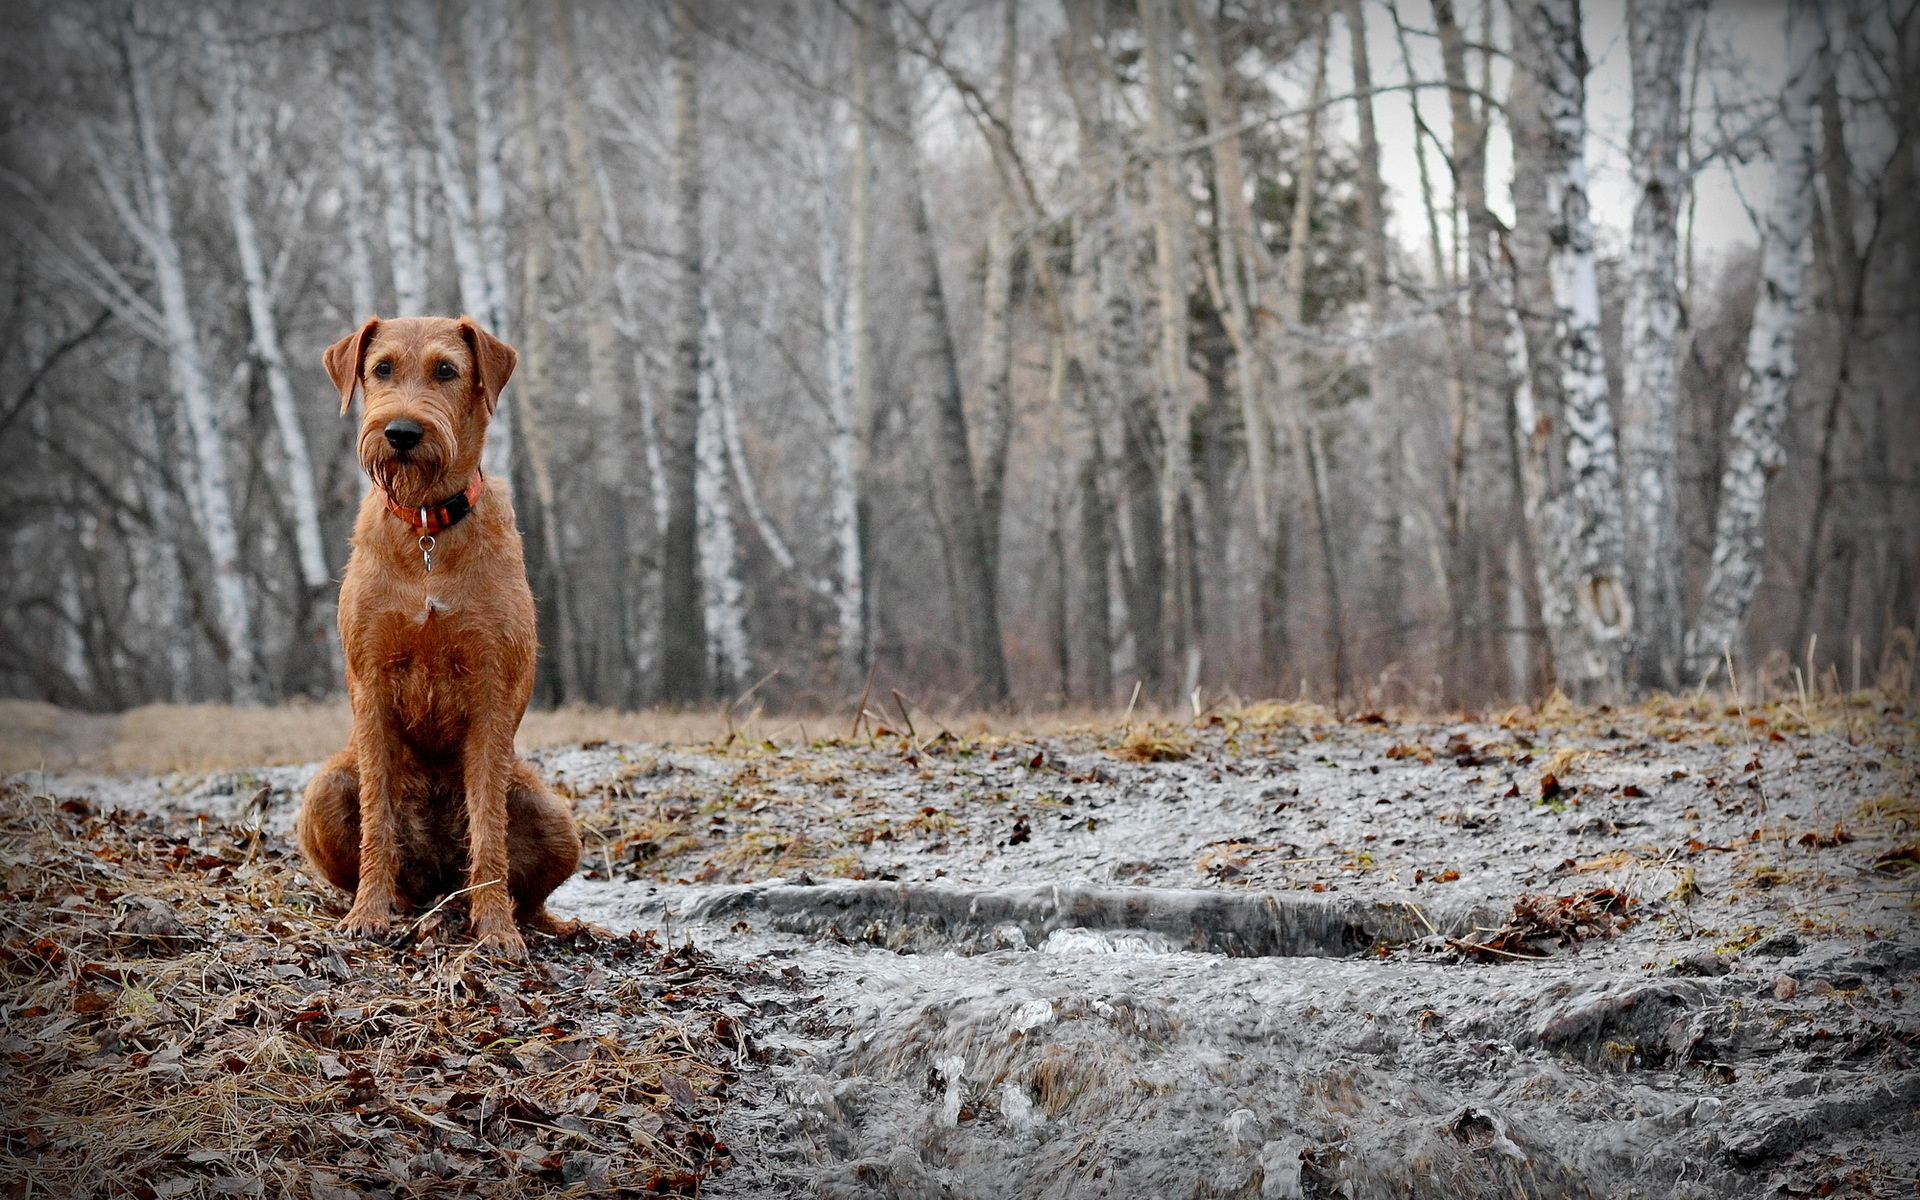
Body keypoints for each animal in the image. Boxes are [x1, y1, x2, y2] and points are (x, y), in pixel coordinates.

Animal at [295, 316, 579, 956]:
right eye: (381, 368)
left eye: (446, 370)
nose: (401, 432)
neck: (427, 528)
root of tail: (438, 884)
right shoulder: (372, 681)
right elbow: (377, 818)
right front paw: (368, 913)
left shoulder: (492, 684)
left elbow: (489, 829)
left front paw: (494, 927)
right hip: (323, 788)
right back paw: (400, 904)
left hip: (555, 816)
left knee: (523, 894)